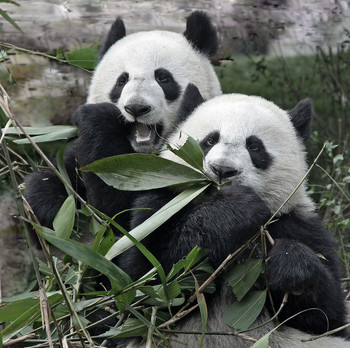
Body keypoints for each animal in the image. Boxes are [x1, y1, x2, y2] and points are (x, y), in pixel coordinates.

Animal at [24, 10, 221, 230]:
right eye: (122, 80)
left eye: (163, 78)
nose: (136, 108)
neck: (141, 154)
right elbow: (53, 179)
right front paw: (54, 212)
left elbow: (118, 208)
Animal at [118, 85, 350, 348]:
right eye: (210, 140)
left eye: (254, 146)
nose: (222, 170)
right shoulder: (159, 209)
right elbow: (145, 286)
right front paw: (237, 209)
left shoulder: (296, 223)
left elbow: (327, 316)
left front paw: (289, 262)